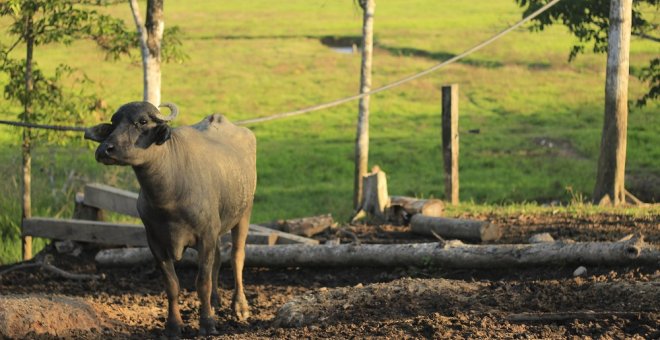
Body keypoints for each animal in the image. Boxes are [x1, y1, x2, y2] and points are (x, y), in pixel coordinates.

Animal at [85, 101, 255, 338]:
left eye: (142, 121)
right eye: (113, 123)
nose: (104, 150)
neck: (169, 195)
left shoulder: (205, 237)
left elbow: (202, 282)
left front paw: (207, 323)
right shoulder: (155, 242)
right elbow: (172, 285)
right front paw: (173, 326)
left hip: (244, 212)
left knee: (237, 257)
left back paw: (240, 306)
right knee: (219, 259)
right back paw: (214, 301)